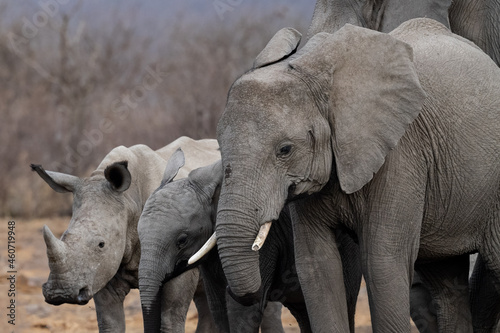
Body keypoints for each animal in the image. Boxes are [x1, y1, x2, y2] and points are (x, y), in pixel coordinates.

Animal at [31, 136, 219, 332]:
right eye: (64, 237)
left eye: (101, 244)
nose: (60, 293)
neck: (129, 199)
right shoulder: (102, 269)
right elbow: (110, 322)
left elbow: (170, 318)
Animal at [213, 18, 500, 332]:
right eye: (219, 147)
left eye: (284, 150)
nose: (248, 292)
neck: (313, 70)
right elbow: (317, 265)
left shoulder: (401, 153)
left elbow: (381, 262)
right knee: (447, 283)